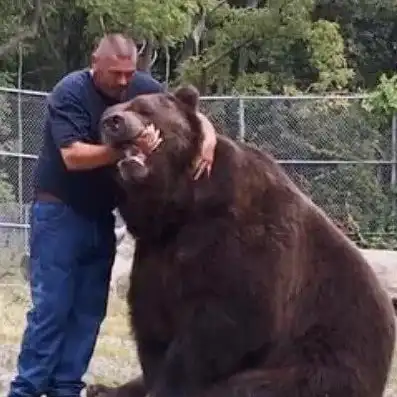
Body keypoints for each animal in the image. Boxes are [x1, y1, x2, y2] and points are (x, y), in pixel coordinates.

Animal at [88, 84, 394, 396]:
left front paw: (168, 384)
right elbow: (152, 318)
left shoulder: (243, 240)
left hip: (327, 352)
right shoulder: (158, 250)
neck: (181, 207)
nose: (112, 122)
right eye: (107, 114)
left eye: (142, 107)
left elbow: (228, 319)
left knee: (253, 384)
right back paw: (102, 388)